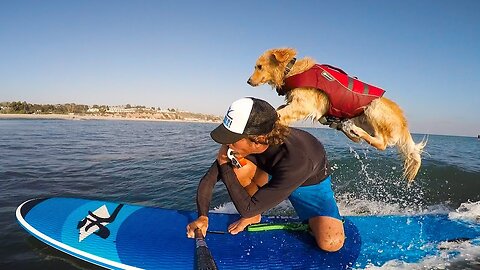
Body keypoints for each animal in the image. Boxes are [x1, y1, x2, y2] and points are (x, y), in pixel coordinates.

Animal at [248, 47, 428, 182]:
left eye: (259, 66)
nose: (248, 81)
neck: (290, 70)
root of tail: (404, 124)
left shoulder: (303, 105)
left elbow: (279, 113)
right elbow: (278, 109)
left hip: (373, 107)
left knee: (382, 143)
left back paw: (354, 130)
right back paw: (348, 128)